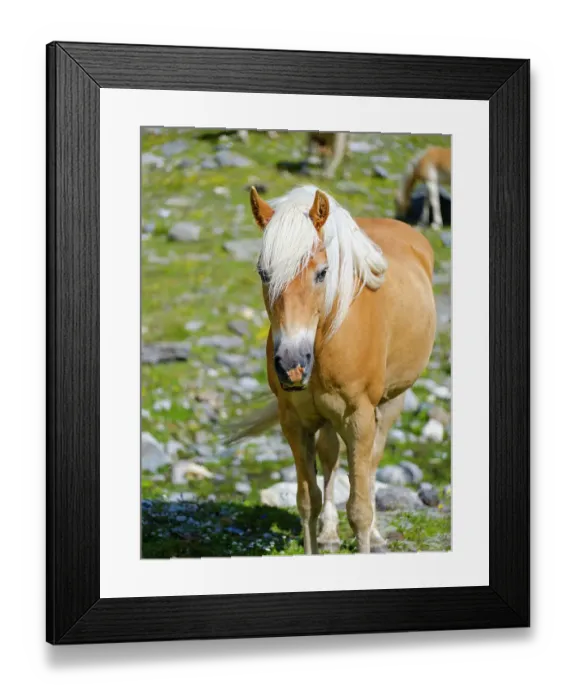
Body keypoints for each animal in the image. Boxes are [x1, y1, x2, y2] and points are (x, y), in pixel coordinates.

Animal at [230, 185, 436, 555]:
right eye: (264, 273)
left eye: (322, 272)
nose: (292, 365)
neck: (327, 335)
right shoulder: (294, 421)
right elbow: (306, 501)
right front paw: (320, 536)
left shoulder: (359, 418)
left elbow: (359, 508)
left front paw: (367, 536)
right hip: (326, 416)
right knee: (330, 458)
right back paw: (329, 533)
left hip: (390, 402)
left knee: (371, 463)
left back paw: (377, 536)